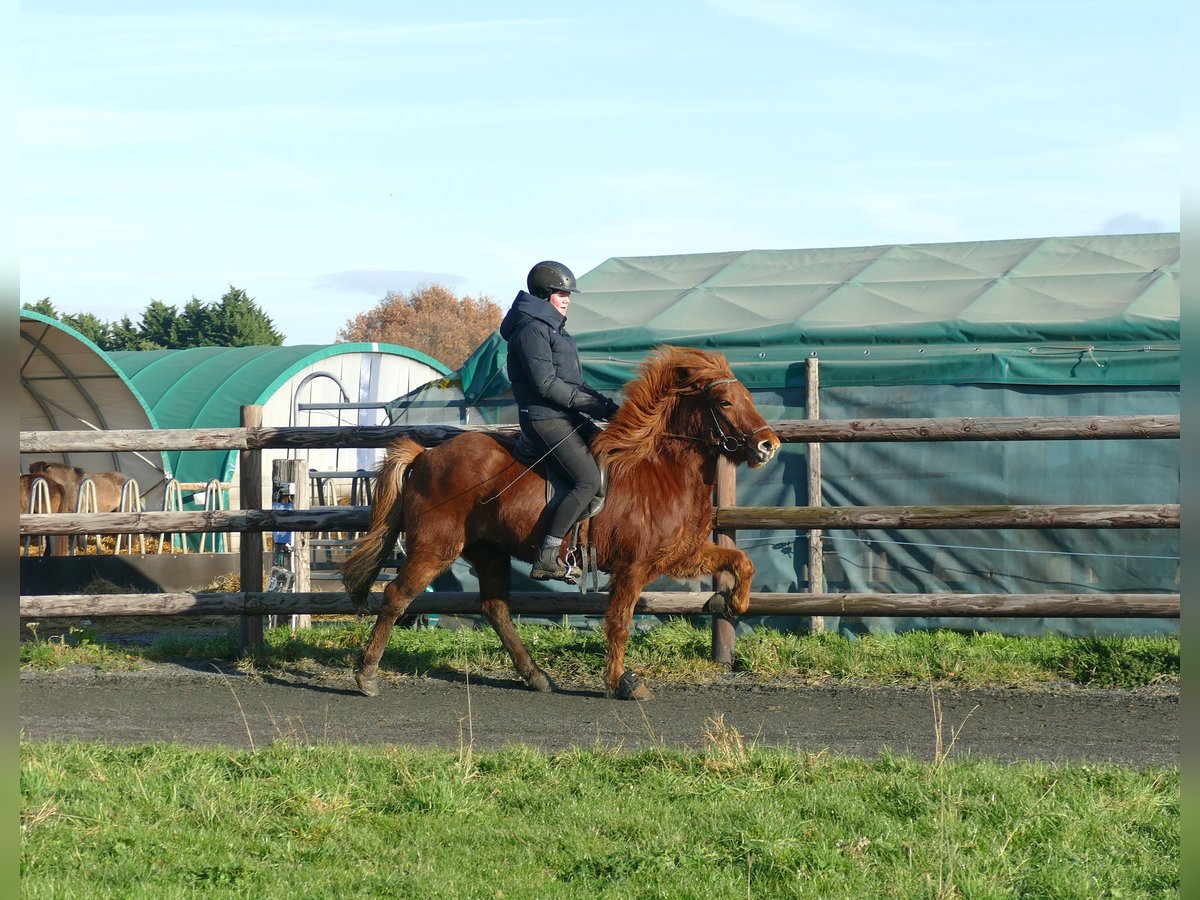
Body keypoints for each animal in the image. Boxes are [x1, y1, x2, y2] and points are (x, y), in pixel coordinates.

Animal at [342, 345, 782, 700]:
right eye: (724, 402)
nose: (769, 446)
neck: (660, 471)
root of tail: (425, 455)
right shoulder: (634, 567)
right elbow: (619, 622)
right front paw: (622, 682)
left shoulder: (680, 554)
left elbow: (742, 561)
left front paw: (736, 603)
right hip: (436, 547)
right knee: (397, 596)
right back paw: (366, 676)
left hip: (488, 551)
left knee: (495, 608)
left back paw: (535, 675)